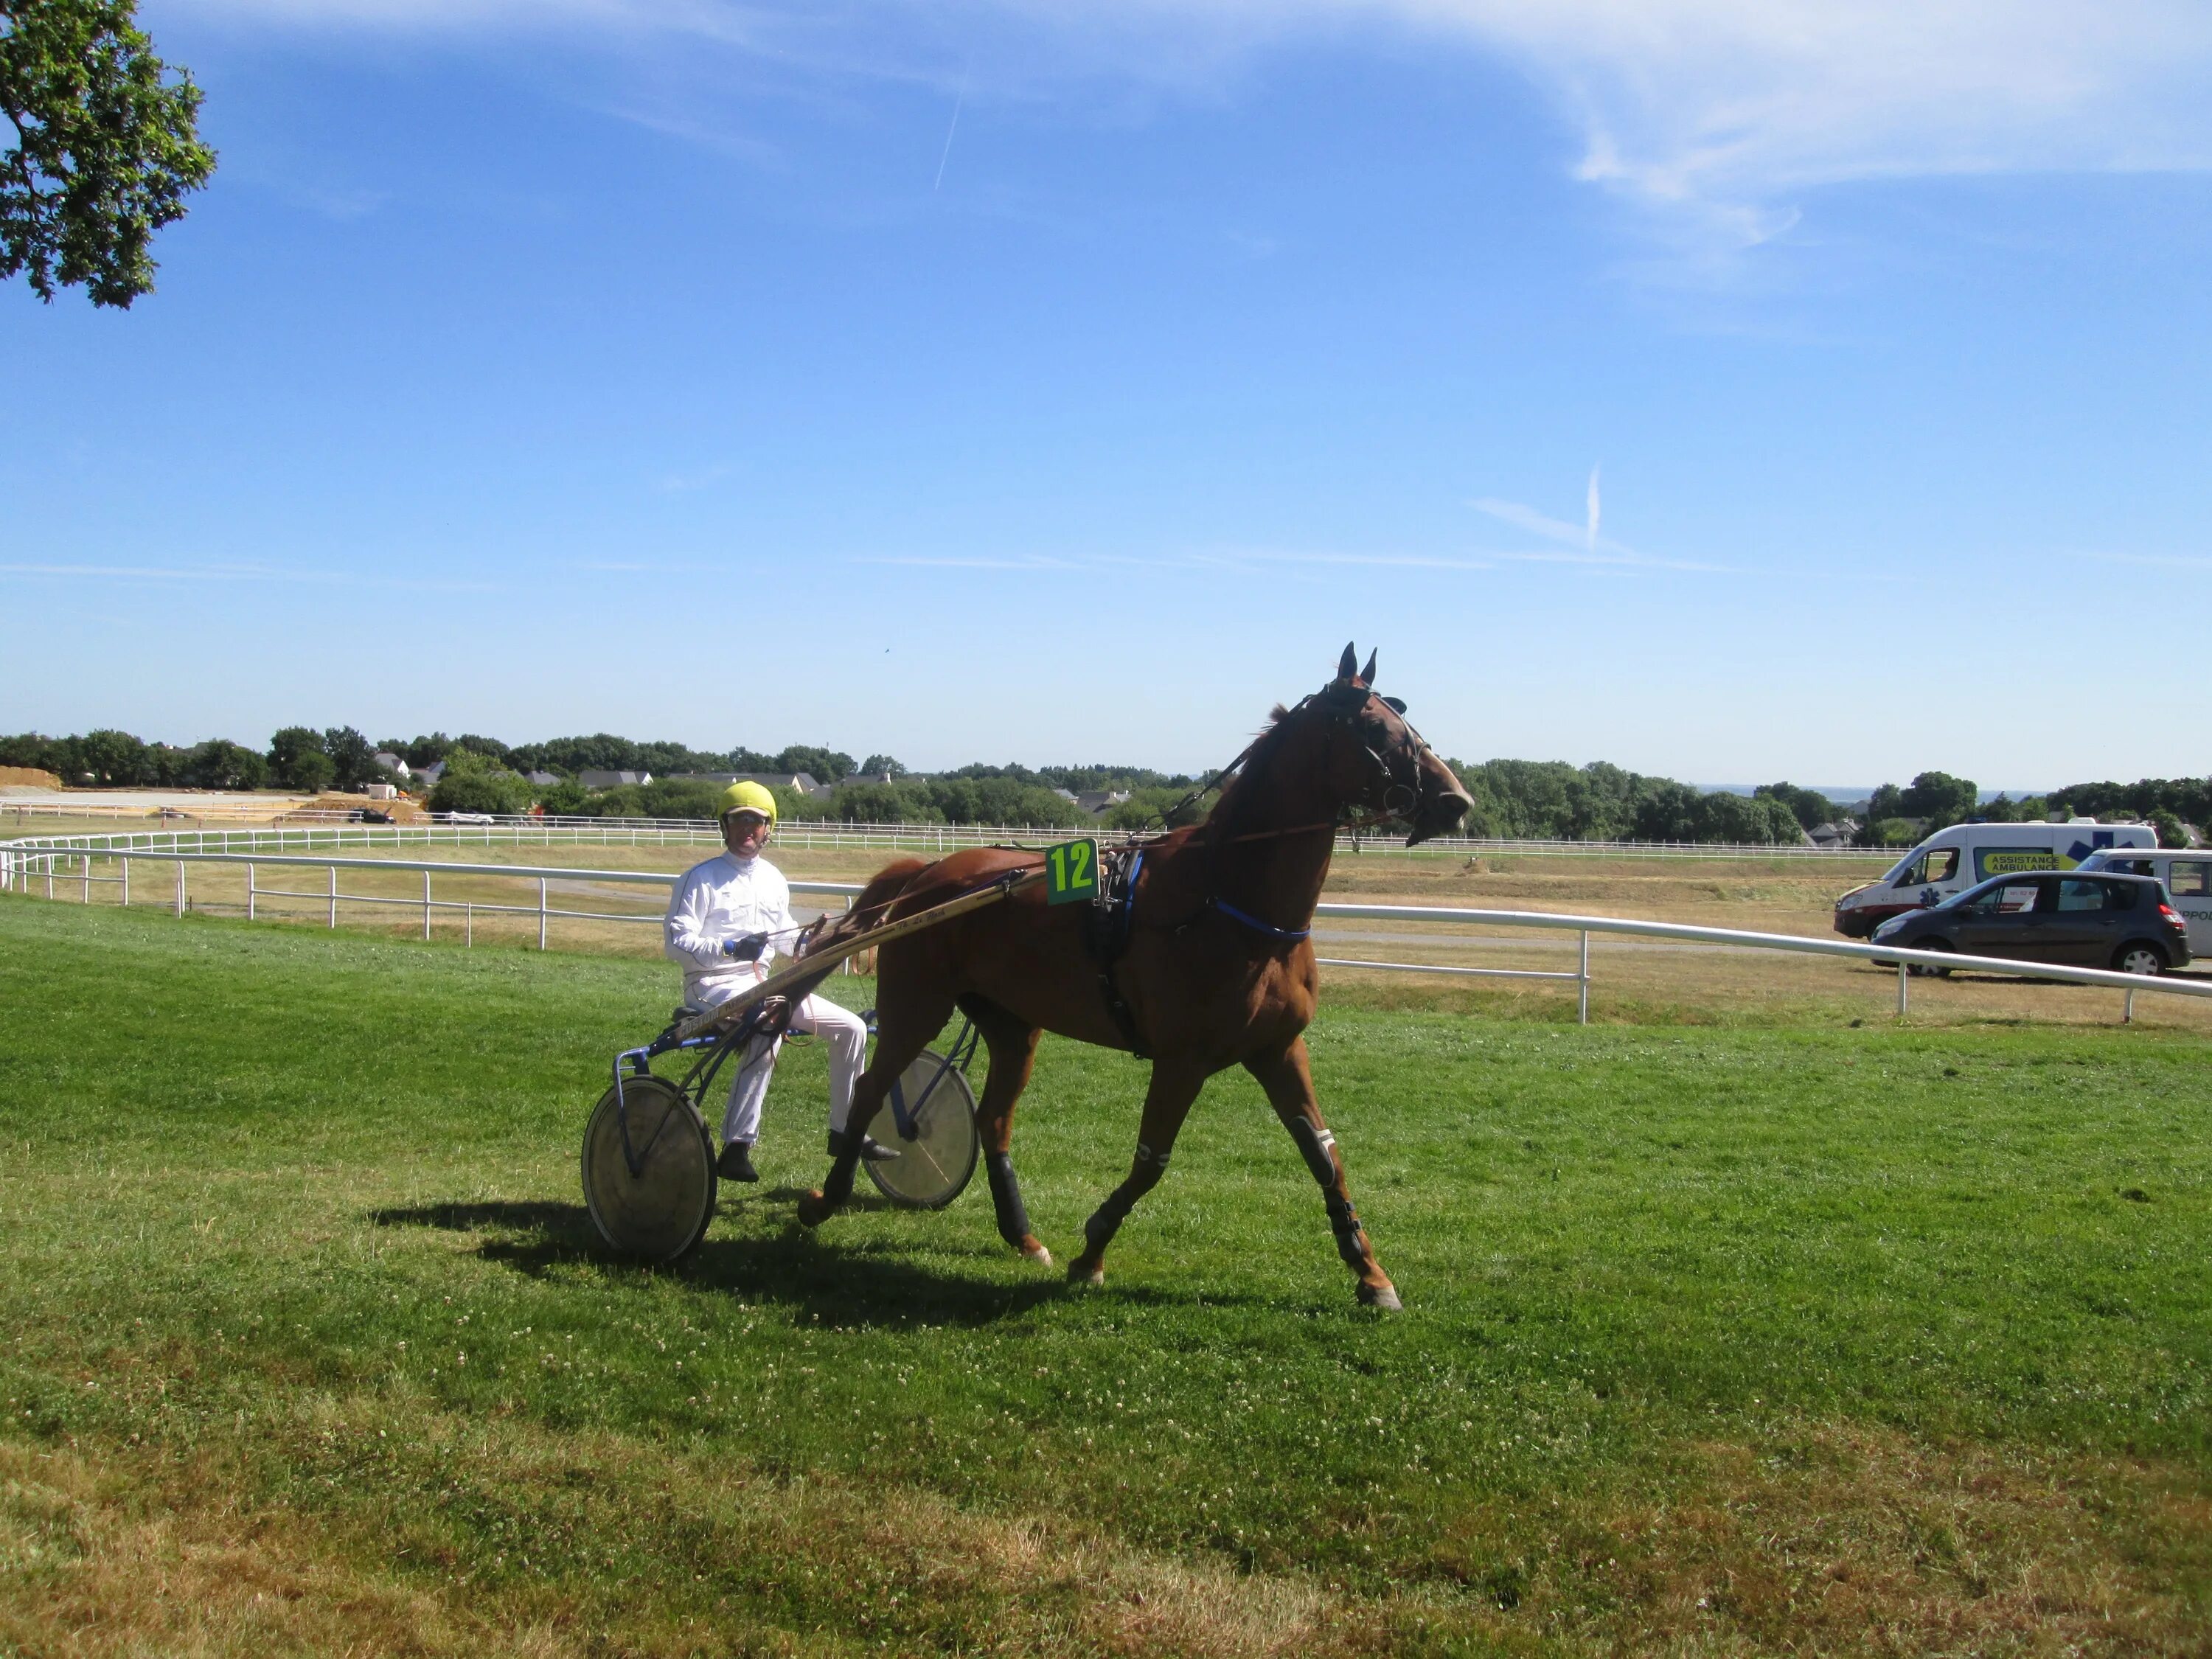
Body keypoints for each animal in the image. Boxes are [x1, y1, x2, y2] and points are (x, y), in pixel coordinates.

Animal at [796, 650, 1469, 1310]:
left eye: (1402, 719)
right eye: (1376, 727)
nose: (1457, 801)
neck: (1226, 896)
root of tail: (927, 872)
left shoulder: (1279, 1049)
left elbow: (1324, 1155)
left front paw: (1369, 1272)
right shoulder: (1182, 1059)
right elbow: (1152, 1161)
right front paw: (1092, 1250)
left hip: (1014, 1025)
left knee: (993, 1120)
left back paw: (1022, 1235)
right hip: (917, 1006)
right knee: (872, 1090)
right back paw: (826, 1200)